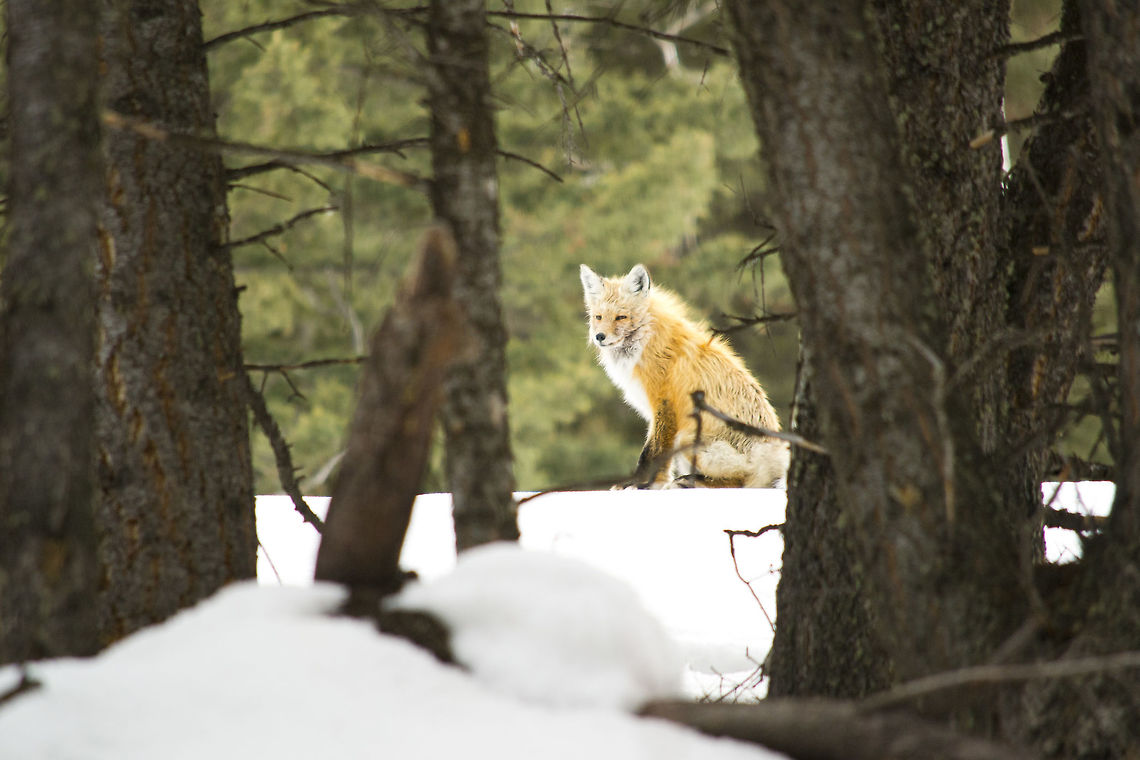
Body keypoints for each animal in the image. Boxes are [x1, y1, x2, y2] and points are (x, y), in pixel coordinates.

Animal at [579, 263, 790, 489]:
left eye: (621, 317)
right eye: (598, 317)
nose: (599, 336)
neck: (647, 344)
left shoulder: (664, 405)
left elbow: (652, 452)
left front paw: (642, 484)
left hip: (687, 437)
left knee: (740, 482)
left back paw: (691, 482)